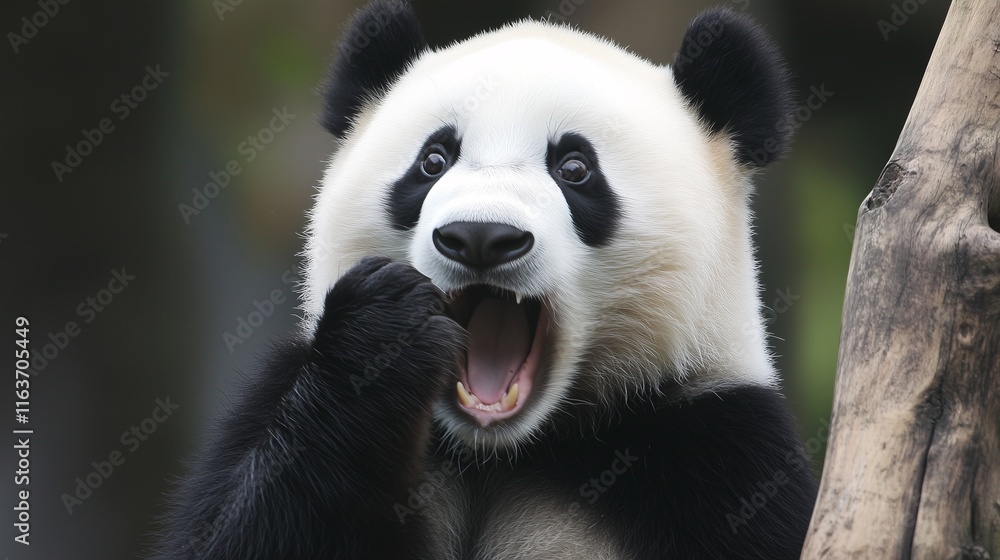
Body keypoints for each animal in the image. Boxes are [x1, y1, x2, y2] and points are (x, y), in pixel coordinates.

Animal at [155, 1, 818, 558]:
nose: (480, 236)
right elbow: (241, 528)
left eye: (575, 168)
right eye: (433, 160)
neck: (497, 455)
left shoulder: (719, 451)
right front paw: (382, 333)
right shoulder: (279, 403)